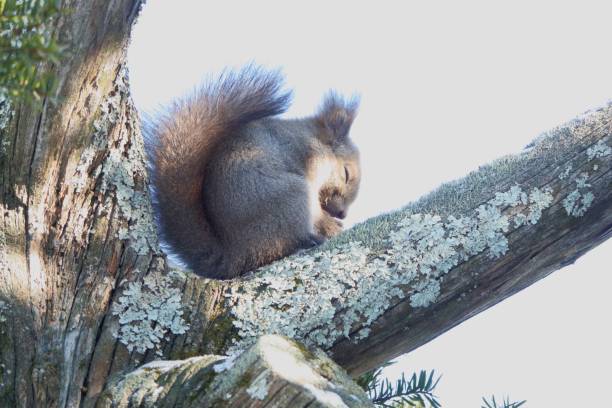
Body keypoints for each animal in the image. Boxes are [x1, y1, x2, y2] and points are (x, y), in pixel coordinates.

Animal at [145, 65, 360, 278]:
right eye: (346, 173)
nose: (342, 214)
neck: (312, 139)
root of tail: (236, 256)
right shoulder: (306, 159)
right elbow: (316, 212)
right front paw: (330, 225)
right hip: (290, 197)